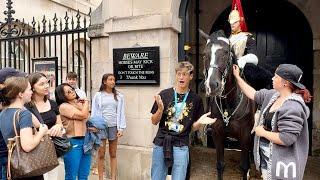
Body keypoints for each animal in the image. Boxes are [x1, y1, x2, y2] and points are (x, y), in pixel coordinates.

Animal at [201, 30, 256, 179]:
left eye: (226, 52)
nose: (212, 85)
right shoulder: (217, 134)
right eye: (205, 54)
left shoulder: (245, 135)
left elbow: (243, 167)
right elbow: (220, 165)